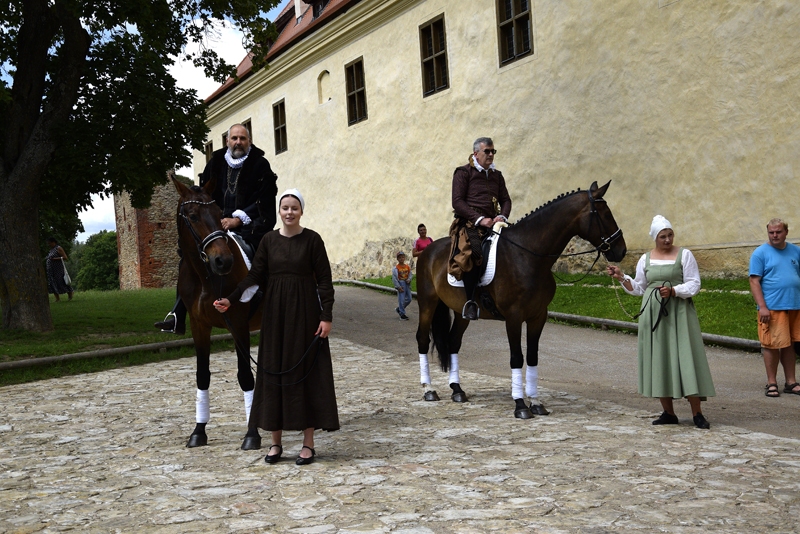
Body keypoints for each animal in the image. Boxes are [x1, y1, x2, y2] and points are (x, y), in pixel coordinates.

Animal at [172, 174, 262, 450]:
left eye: (219, 213)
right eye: (192, 216)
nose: (223, 261)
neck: (206, 278)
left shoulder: (239, 325)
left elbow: (245, 375)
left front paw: (252, 433)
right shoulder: (199, 326)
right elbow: (202, 376)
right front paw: (198, 431)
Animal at [416, 182, 628, 420]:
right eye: (605, 214)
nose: (621, 251)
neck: (528, 256)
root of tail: (429, 250)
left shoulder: (538, 316)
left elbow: (533, 356)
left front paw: (535, 402)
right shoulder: (514, 317)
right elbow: (516, 357)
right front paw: (520, 405)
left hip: (463, 312)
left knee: (453, 341)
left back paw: (457, 390)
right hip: (427, 303)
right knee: (422, 339)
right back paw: (429, 389)